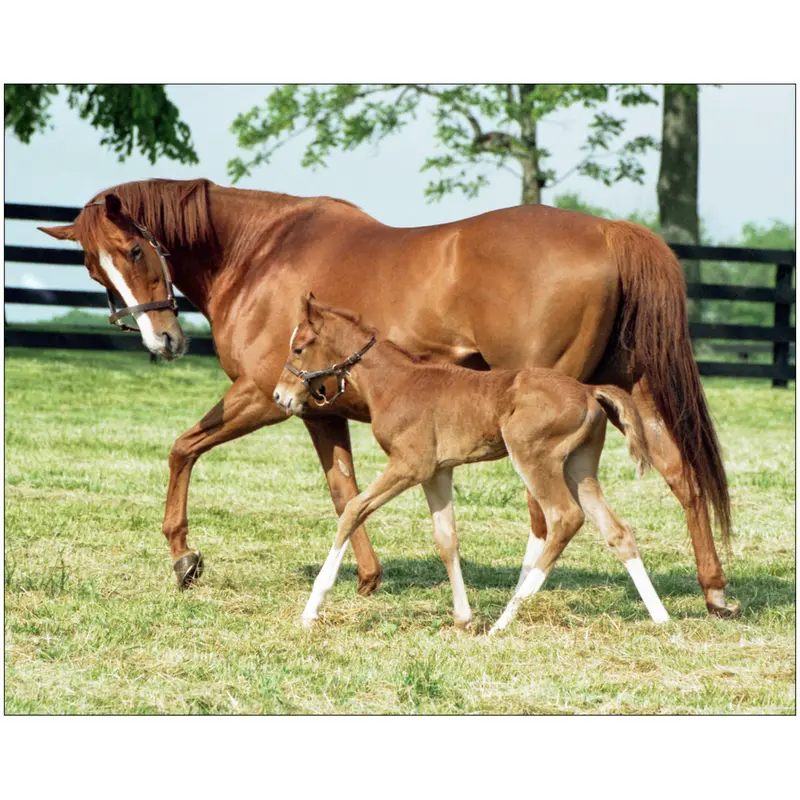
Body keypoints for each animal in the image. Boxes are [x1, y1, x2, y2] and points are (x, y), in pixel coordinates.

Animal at [274, 296, 671, 632]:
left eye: (298, 347)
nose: (280, 396)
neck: (396, 383)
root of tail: (588, 391)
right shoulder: (437, 471)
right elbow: (446, 538)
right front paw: (463, 618)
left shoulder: (409, 465)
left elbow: (353, 510)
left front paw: (311, 609)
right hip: (579, 466)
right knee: (616, 530)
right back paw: (661, 618)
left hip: (532, 456)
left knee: (563, 517)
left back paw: (505, 620)